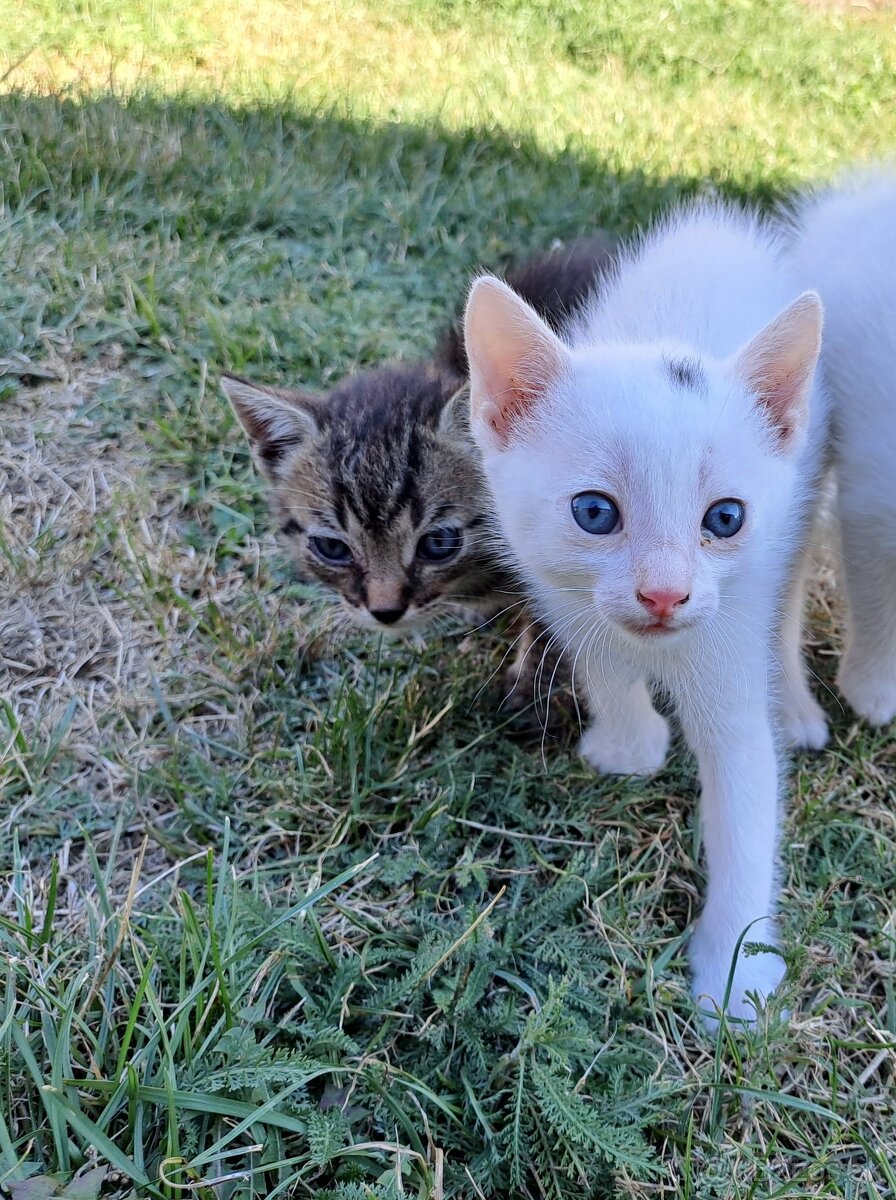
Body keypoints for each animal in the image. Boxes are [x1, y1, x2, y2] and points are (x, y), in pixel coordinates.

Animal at [465, 201, 830, 1017]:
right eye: (595, 512)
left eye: (725, 519)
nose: (664, 593)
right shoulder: (560, 589)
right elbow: (602, 660)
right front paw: (630, 743)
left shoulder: (730, 631)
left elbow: (747, 793)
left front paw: (736, 976)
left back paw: (794, 701)